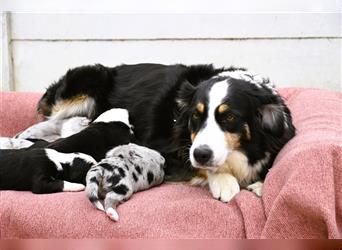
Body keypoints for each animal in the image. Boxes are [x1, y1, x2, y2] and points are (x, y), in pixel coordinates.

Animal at [36, 63, 294, 202]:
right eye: (195, 116)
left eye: (229, 117)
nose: (201, 154)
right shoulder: (161, 148)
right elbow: (197, 166)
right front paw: (224, 181)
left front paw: (260, 183)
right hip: (85, 84)